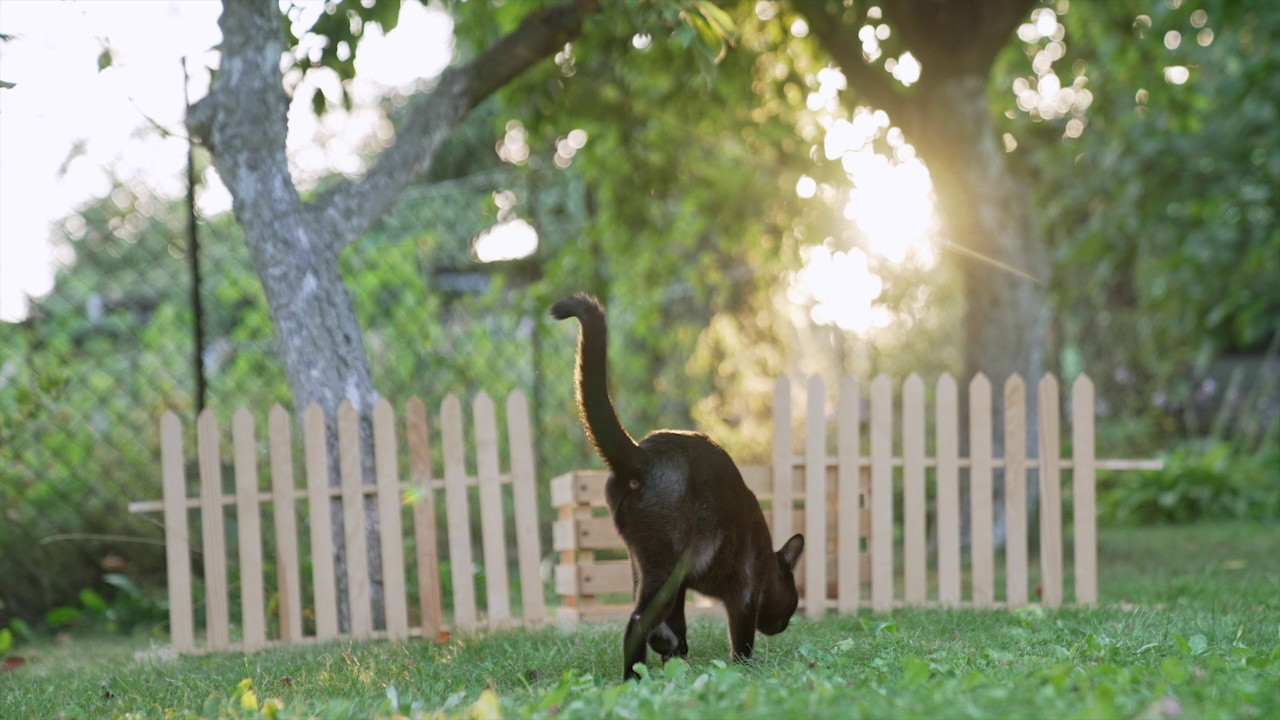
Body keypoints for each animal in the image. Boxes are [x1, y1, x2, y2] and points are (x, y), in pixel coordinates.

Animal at [547, 292, 803, 676]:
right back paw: (632, 678)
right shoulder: (743, 590)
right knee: (636, 620)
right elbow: (741, 637)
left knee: (646, 613)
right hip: (664, 564)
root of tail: (645, 454)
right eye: (791, 604)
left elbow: (680, 621)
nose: (784, 625)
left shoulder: (682, 583)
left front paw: (676, 656)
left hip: (644, 564)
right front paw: (745, 663)